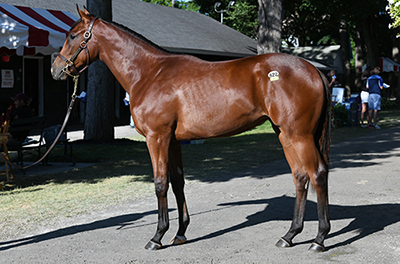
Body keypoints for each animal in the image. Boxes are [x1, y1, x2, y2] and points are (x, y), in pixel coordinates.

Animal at [50, 7, 332, 253]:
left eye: (72, 35)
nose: (55, 70)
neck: (149, 73)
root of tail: (315, 70)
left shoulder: (157, 138)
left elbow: (160, 183)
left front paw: (157, 236)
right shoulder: (173, 141)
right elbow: (177, 183)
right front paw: (180, 233)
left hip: (300, 136)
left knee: (317, 174)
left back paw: (319, 239)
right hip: (285, 135)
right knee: (300, 177)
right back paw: (289, 235)